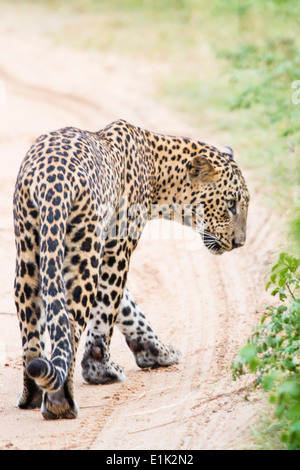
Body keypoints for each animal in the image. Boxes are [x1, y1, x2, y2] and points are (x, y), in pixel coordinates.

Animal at [12, 119, 250, 420]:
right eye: (230, 204)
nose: (240, 243)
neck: (159, 170)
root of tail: (52, 180)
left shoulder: (106, 253)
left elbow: (129, 308)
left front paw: (156, 351)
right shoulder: (117, 249)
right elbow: (108, 311)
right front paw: (100, 370)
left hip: (30, 250)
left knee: (31, 331)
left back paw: (31, 394)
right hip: (82, 253)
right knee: (72, 325)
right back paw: (59, 402)